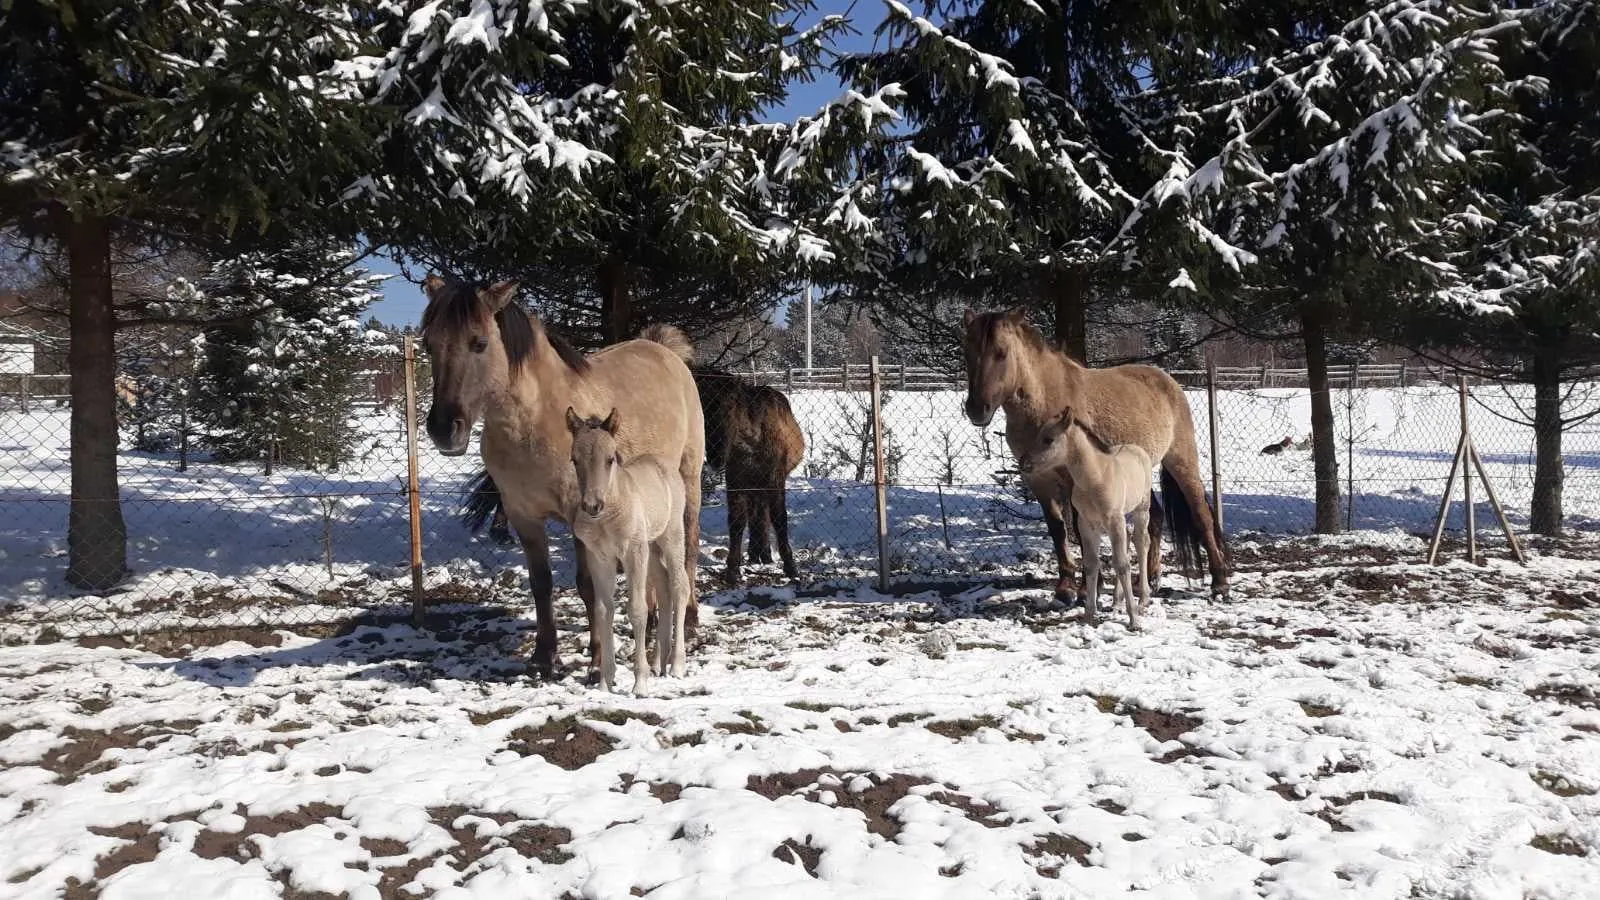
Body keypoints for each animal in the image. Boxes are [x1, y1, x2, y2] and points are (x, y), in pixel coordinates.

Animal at [566, 406, 684, 695]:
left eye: (610, 459)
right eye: (574, 459)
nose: (592, 506)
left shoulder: (632, 553)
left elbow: (638, 609)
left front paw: (639, 683)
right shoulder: (599, 558)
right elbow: (602, 610)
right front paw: (604, 683)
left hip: (670, 537)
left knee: (679, 587)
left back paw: (676, 665)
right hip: (650, 547)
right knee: (663, 587)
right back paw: (659, 664)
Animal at [953, 305, 1228, 595]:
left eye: (1001, 352)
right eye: (967, 351)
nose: (976, 409)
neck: (1044, 403)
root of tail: (1169, 382)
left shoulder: (1076, 479)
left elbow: (1079, 527)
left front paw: (1087, 588)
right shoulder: (1037, 479)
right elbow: (1057, 528)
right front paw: (1065, 587)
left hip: (1181, 461)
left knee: (1201, 514)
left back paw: (1220, 580)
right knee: (1154, 518)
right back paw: (1150, 579)